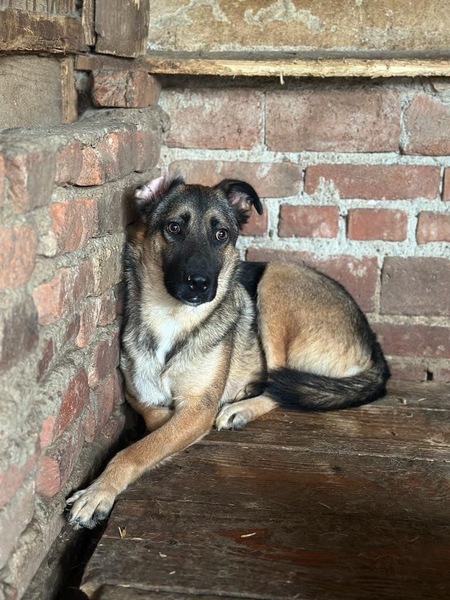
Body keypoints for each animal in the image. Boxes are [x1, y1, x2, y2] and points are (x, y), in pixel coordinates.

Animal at [67, 176, 390, 528]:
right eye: (174, 227)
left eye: (221, 234)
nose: (200, 283)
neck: (172, 317)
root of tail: (374, 343)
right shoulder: (138, 392)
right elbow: (152, 418)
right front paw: (161, 423)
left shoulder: (199, 408)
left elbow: (134, 451)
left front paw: (98, 491)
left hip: (276, 278)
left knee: (279, 385)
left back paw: (241, 408)